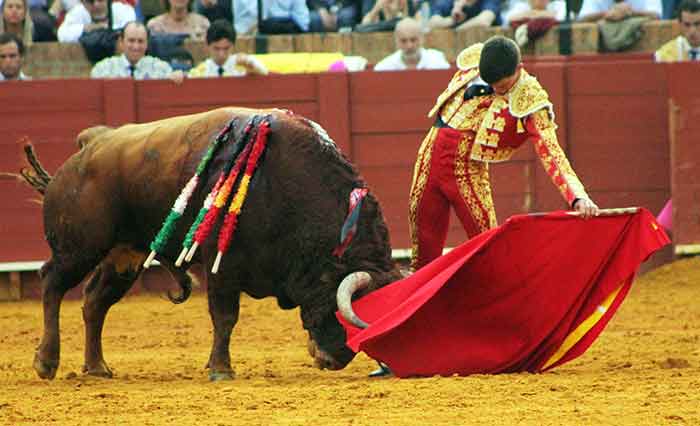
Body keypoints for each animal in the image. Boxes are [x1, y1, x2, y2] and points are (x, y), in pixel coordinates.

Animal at [19, 108, 400, 382]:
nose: (334, 360)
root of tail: (88, 146)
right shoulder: (222, 265)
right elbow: (225, 317)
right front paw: (221, 369)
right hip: (77, 249)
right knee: (52, 284)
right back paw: (46, 362)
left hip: (124, 257)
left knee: (94, 303)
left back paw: (97, 367)